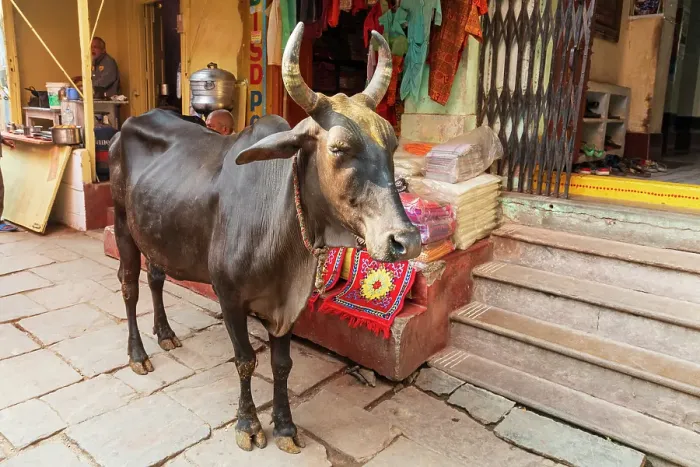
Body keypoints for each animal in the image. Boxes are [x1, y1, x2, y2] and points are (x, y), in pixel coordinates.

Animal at [109, 22, 420, 454]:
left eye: (391, 144)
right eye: (339, 148)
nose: (405, 240)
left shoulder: (288, 305)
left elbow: (282, 364)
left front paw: (285, 426)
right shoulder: (229, 297)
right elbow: (245, 361)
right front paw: (249, 424)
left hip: (155, 230)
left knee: (156, 278)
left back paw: (166, 334)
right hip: (122, 225)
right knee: (129, 286)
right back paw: (137, 353)